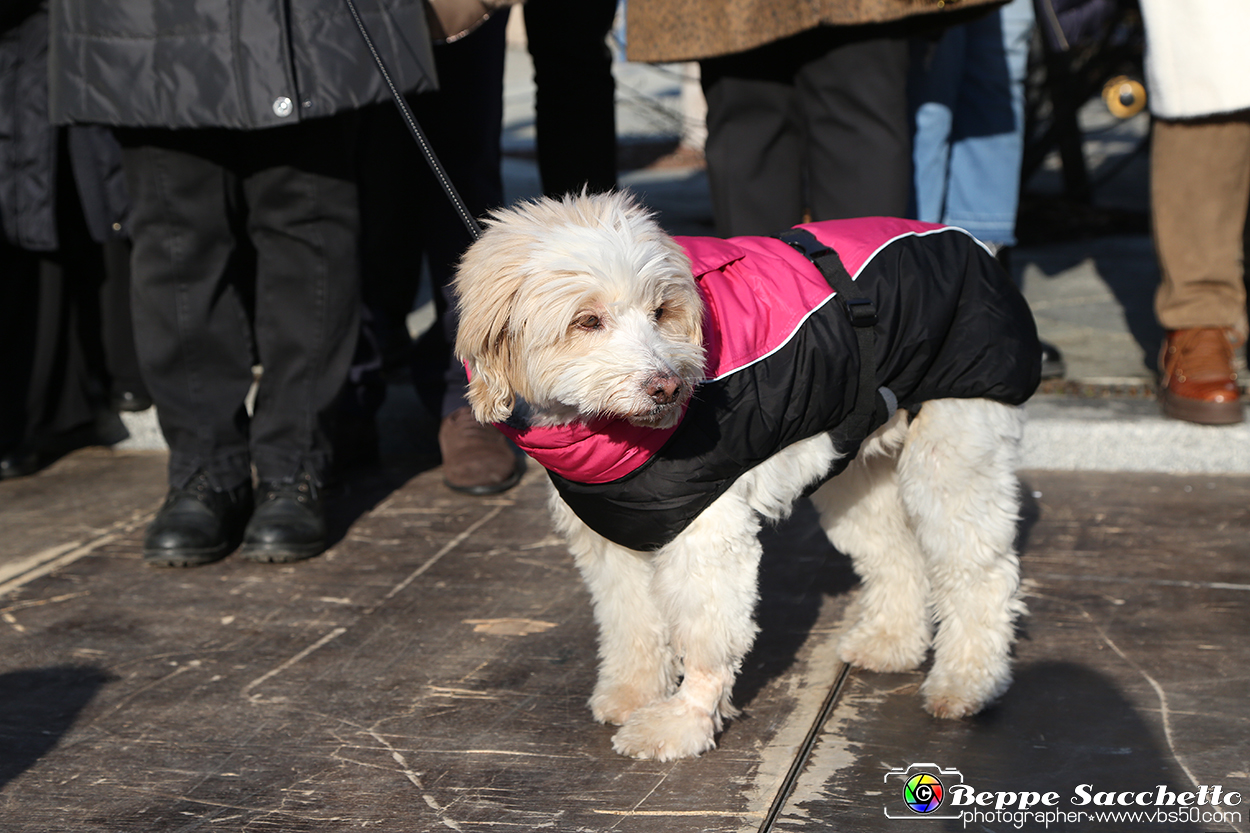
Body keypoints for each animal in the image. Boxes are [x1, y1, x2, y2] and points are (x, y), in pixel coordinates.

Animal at [455, 190, 1030, 760]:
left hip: (953, 456)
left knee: (980, 572)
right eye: (587, 321)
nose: (667, 387)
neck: (612, 436)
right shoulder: (612, 537)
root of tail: (967, 240)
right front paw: (633, 692)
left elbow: (707, 635)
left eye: (660, 311)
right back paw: (891, 643)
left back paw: (966, 683)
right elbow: (630, 621)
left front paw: (682, 723)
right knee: (897, 556)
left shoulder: (705, 535)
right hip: (857, 476)